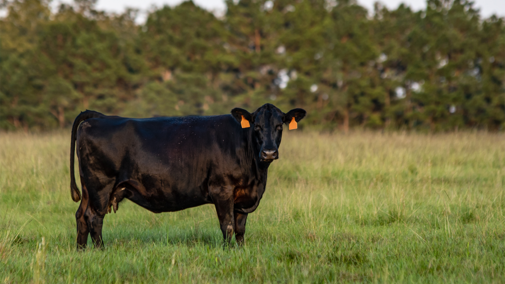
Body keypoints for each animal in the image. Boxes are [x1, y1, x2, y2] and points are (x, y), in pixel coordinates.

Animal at [69, 103, 306, 248]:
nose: (269, 152)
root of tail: (101, 118)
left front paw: (240, 251)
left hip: (89, 188)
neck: (256, 174)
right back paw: (100, 250)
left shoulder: (243, 195)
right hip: (101, 186)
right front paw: (228, 252)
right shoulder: (222, 190)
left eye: (279, 126)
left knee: (81, 216)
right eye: (256, 126)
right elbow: (228, 225)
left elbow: (240, 228)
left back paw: (81, 251)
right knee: (94, 218)